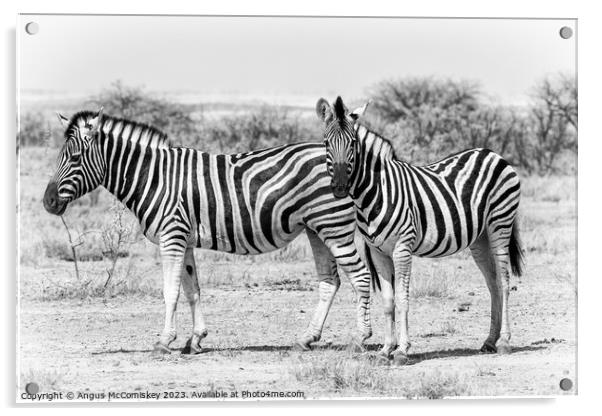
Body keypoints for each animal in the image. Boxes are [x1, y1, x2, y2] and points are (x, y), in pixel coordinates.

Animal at [43, 108, 376, 354]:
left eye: (74, 158)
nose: (47, 202)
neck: (153, 176)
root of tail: (347, 162)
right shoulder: (184, 239)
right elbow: (193, 290)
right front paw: (196, 339)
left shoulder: (172, 236)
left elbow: (170, 291)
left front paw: (164, 341)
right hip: (316, 228)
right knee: (329, 281)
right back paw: (306, 338)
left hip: (334, 226)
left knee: (360, 276)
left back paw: (361, 339)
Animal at [316, 96, 524, 366]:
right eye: (326, 143)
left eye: (352, 143)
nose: (340, 187)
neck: (375, 191)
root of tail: (493, 153)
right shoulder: (377, 252)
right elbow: (388, 301)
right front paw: (385, 350)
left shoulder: (402, 248)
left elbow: (403, 300)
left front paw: (402, 351)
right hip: (480, 238)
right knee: (494, 283)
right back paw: (489, 341)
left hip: (500, 223)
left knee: (506, 281)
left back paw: (505, 342)